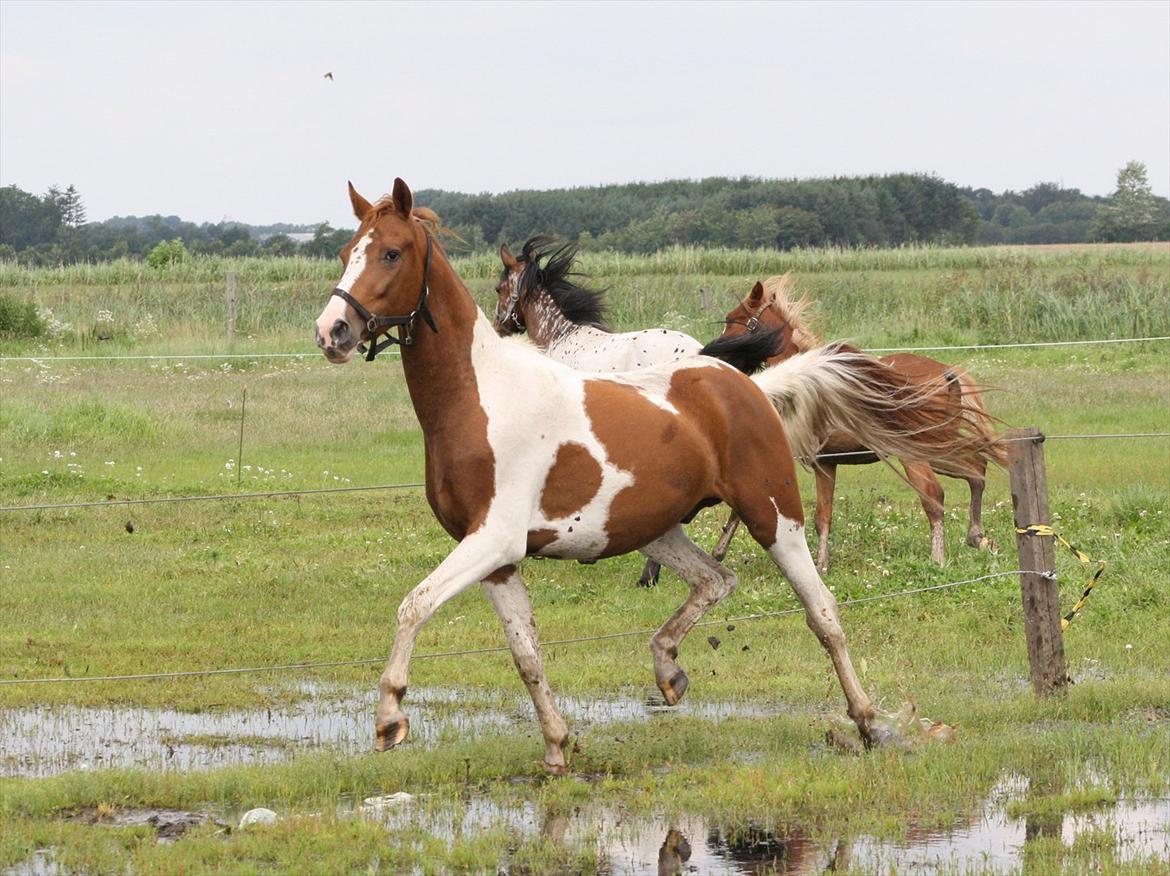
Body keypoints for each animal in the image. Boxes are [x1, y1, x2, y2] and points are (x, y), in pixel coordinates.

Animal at [720, 277, 1006, 570]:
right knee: (976, 471)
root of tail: (950, 373)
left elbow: (742, 509)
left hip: (916, 454)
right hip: (935, 449)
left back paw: (938, 558)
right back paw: (977, 537)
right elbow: (823, 516)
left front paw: (719, 552)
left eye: (733, 319)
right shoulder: (826, 463)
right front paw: (822, 564)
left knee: (936, 495)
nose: (720, 357)